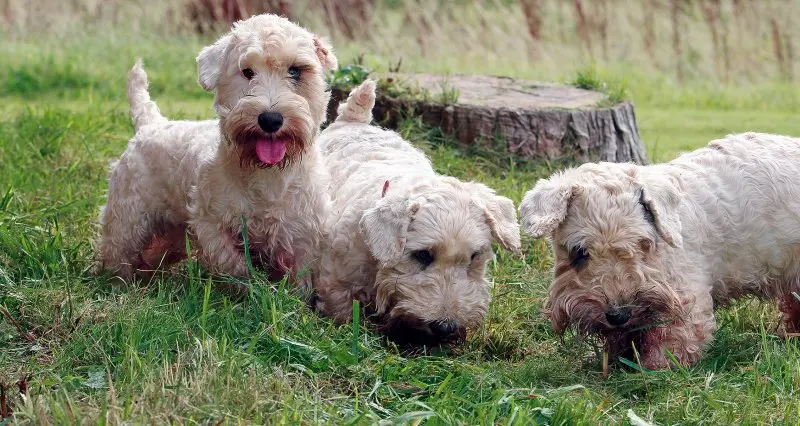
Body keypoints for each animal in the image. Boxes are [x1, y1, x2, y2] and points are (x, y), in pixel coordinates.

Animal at [97, 15, 338, 292]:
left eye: (296, 70)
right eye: (247, 71)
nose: (270, 119)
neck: (267, 174)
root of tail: (150, 123)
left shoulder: (303, 232)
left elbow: (299, 278)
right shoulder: (210, 222)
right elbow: (231, 263)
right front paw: (247, 288)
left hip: (171, 232)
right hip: (128, 217)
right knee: (118, 250)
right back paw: (117, 283)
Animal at [312, 80, 520, 346]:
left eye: (474, 257)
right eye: (422, 255)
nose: (446, 327)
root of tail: (352, 121)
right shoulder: (337, 284)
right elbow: (340, 310)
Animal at [520, 133, 800, 370]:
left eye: (643, 243)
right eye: (579, 252)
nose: (618, 315)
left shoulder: (686, 304)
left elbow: (668, 345)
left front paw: (650, 370)